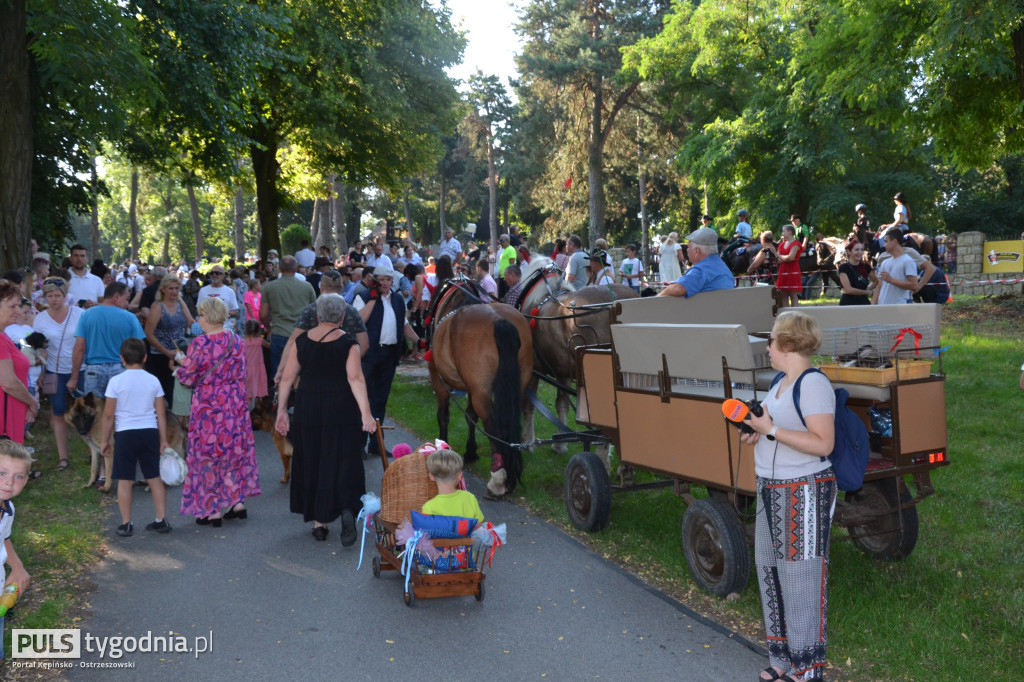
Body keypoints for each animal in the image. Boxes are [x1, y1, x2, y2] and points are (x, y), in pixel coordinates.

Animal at [425, 274, 536, 493]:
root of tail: (500, 321)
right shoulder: (471, 387)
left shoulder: (438, 377)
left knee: (492, 425)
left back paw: (498, 478)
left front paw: (444, 446)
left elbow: (443, 415)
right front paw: (471, 451)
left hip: (481, 392)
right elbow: (470, 417)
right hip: (514, 386)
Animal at [516, 254, 634, 462]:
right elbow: (561, 405)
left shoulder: (534, 371)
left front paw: (528, 443)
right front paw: (560, 444)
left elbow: (529, 406)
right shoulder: (563, 372)